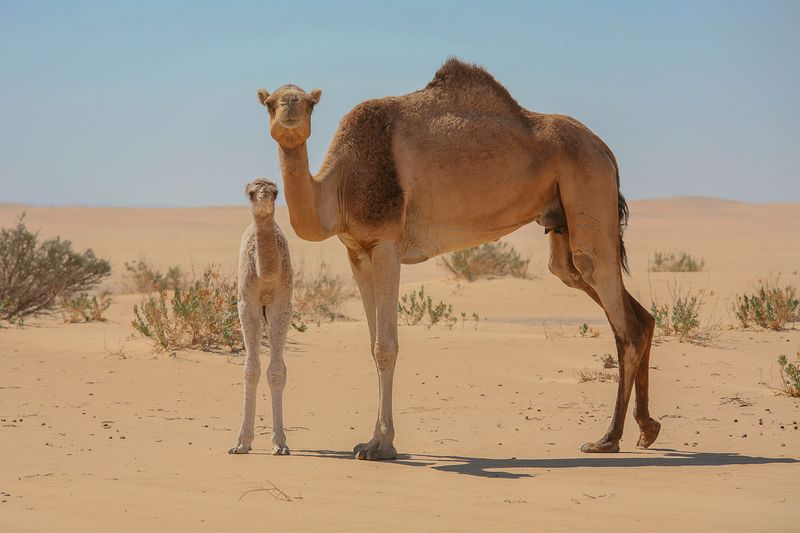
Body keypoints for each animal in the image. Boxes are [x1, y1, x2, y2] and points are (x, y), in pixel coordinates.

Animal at [256, 58, 660, 460]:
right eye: (270, 102)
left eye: (309, 102)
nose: (290, 106)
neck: (339, 185)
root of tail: (604, 149)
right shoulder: (357, 251)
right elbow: (372, 345)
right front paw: (370, 441)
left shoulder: (386, 244)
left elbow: (385, 347)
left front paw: (383, 445)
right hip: (560, 218)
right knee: (604, 293)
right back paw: (646, 429)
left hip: (587, 180)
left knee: (607, 293)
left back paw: (608, 438)